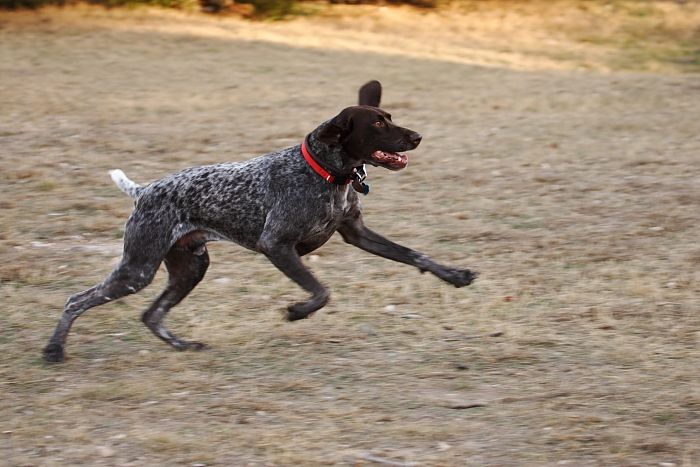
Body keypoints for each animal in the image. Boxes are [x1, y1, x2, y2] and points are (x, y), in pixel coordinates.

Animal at [41, 81, 474, 366]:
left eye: (390, 118)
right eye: (379, 125)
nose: (417, 136)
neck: (326, 174)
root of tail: (144, 191)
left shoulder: (358, 234)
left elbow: (416, 255)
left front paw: (454, 275)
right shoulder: (276, 245)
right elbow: (321, 291)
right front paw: (297, 312)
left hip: (190, 268)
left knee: (151, 315)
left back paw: (183, 346)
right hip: (138, 269)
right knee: (76, 300)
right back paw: (54, 350)